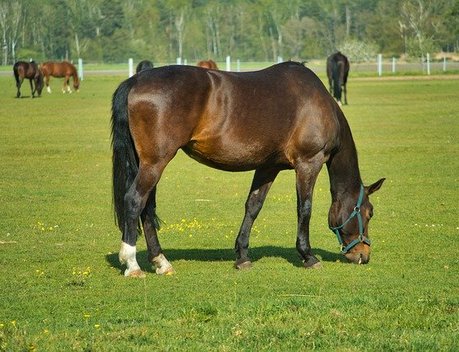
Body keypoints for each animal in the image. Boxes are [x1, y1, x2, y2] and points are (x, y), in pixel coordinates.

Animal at [111, 62, 384, 278]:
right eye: (369, 213)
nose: (364, 254)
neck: (316, 102)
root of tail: (136, 80)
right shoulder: (309, 163)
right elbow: (304, 209)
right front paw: (308, 256)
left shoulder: (268, 166)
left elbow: (253, 207)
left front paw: (242, 255)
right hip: (155, 163)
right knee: (135, 200)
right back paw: (132, 264)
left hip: (149, 163)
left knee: (147, 207)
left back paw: (161, 261)